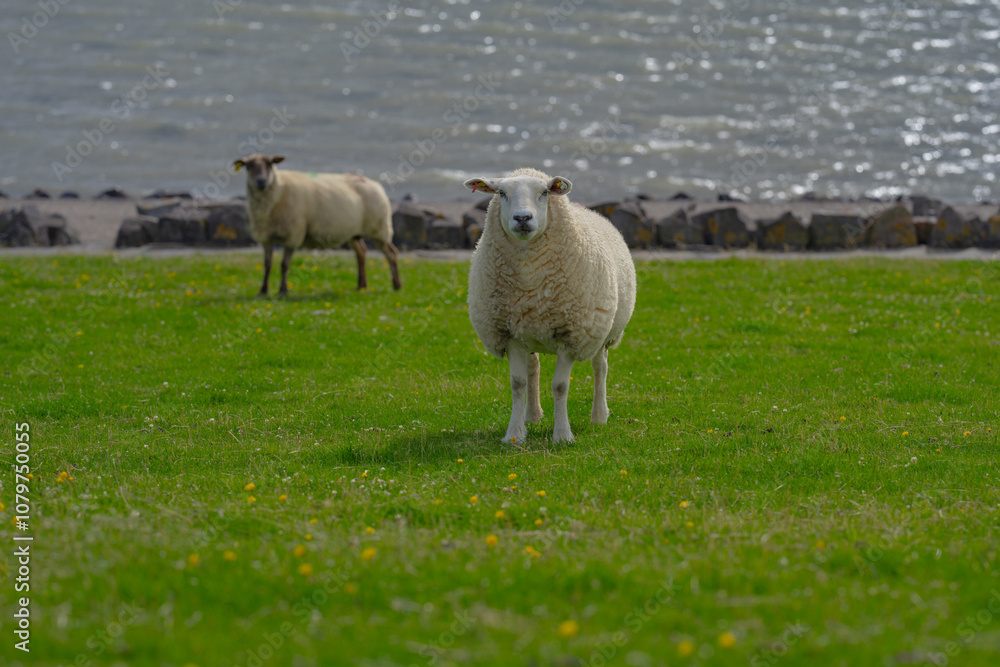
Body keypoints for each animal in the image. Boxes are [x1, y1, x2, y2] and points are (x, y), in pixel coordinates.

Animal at [233, 154, 401, 296]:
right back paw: (361, 285)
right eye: (248, 166)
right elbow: (267, 264)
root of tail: (375, 184)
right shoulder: (266, 237)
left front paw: (283, 291)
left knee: (391, 252)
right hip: (354, 233)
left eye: (269, 164)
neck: (277, 192)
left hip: (379, 228)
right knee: (361, 252)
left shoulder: (293, 235)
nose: (261, 182)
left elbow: (284, 265)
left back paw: (396, 285)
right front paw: (263, 291)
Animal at [464, 167, 636, 444]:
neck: (529, 281)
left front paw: (563, 435)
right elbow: (518, 383)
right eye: (501, 193)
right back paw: (532, 415)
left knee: (600, 367)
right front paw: (514, 435)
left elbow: (560, 386)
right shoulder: (509, 333)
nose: (523, 217)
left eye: (544, 193)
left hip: (601, 330)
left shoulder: (571, 334)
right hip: (530, 331)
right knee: (533, 368)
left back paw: (599, 415)